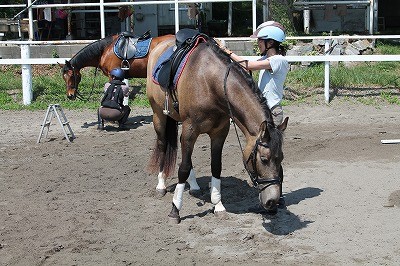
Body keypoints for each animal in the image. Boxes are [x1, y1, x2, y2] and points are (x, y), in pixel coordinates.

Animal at [146, 33, 288, 224]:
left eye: (281, 158)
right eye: (264, 159)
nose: (272, 201)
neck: (211, 82)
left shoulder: (219, 132)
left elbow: (215, 166)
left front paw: (218, 205)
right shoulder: (190, 130)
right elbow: (183, 168)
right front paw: (175, 210)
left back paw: (194, 186)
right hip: (159, 116)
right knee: (163, 145)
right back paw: (161, 185)